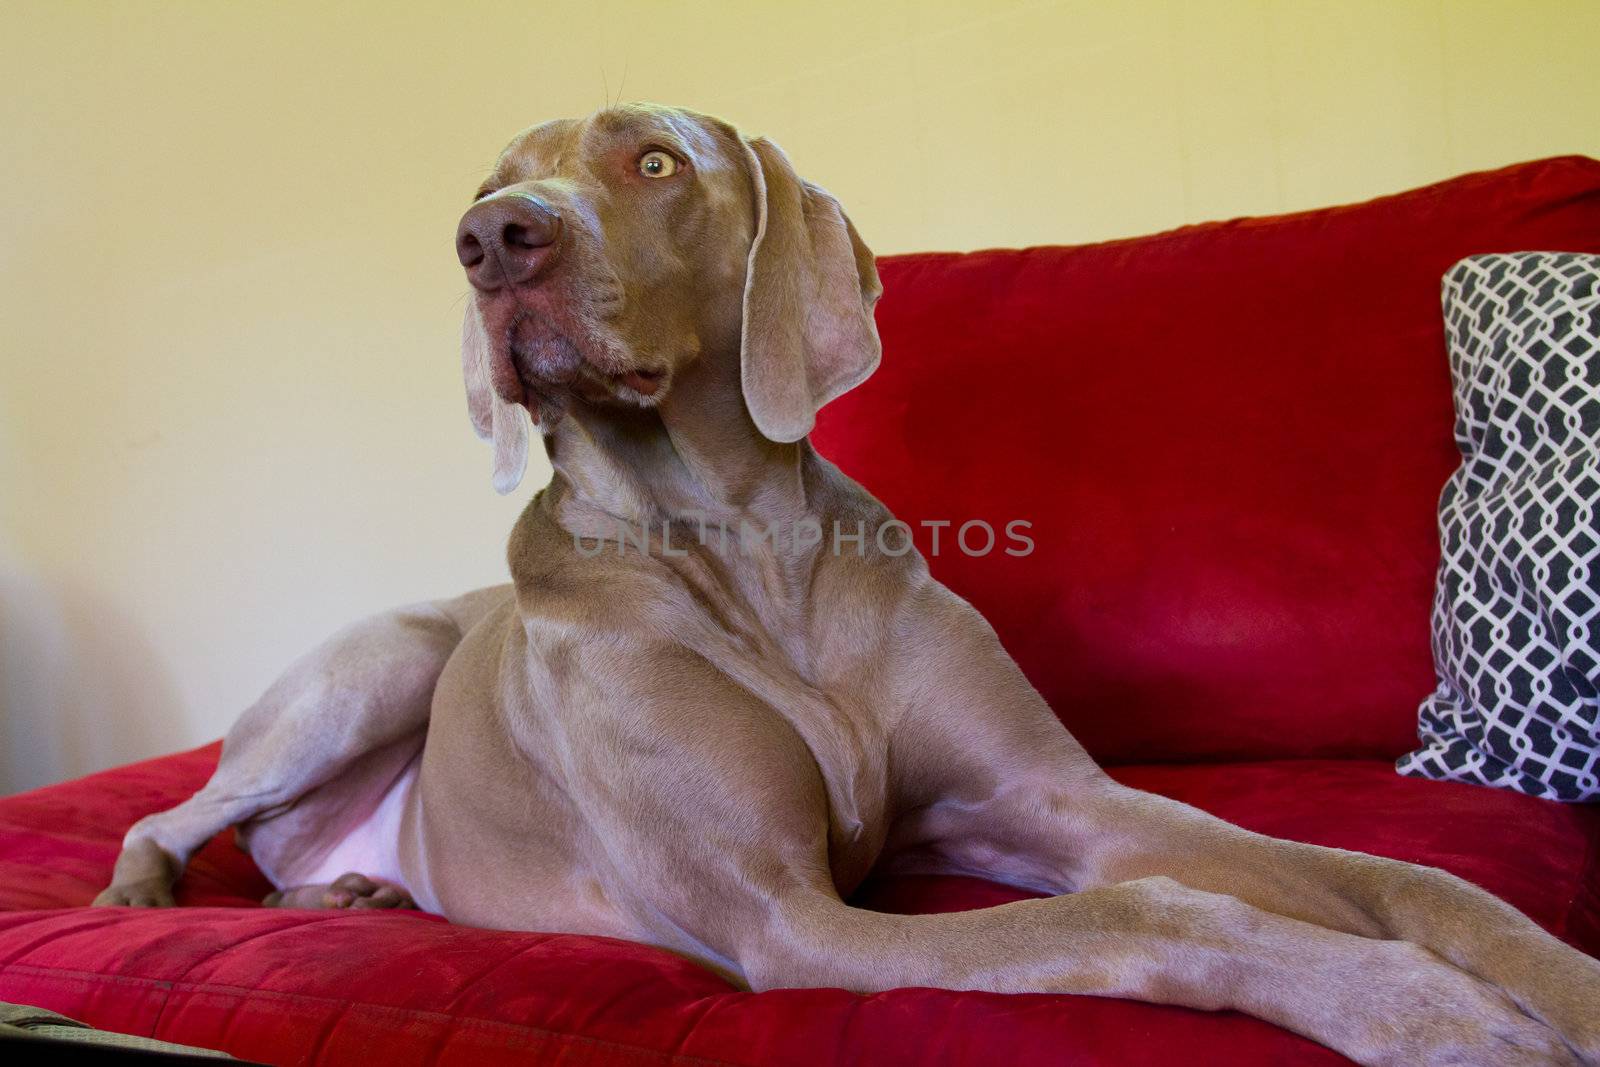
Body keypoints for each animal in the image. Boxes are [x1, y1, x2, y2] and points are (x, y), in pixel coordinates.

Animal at [93, 106, 1600, 1062]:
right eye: (486, 184)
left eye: (653, 158)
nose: (492, 238)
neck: (744, 551)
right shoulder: (787, 916)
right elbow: (1144, 908)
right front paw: (1416, 1005)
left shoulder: (1049, 797)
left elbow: (1399, 873)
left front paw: (1552, 983)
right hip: (380, 661)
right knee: (178, 804)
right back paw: (142, 894)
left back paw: (343, 901)